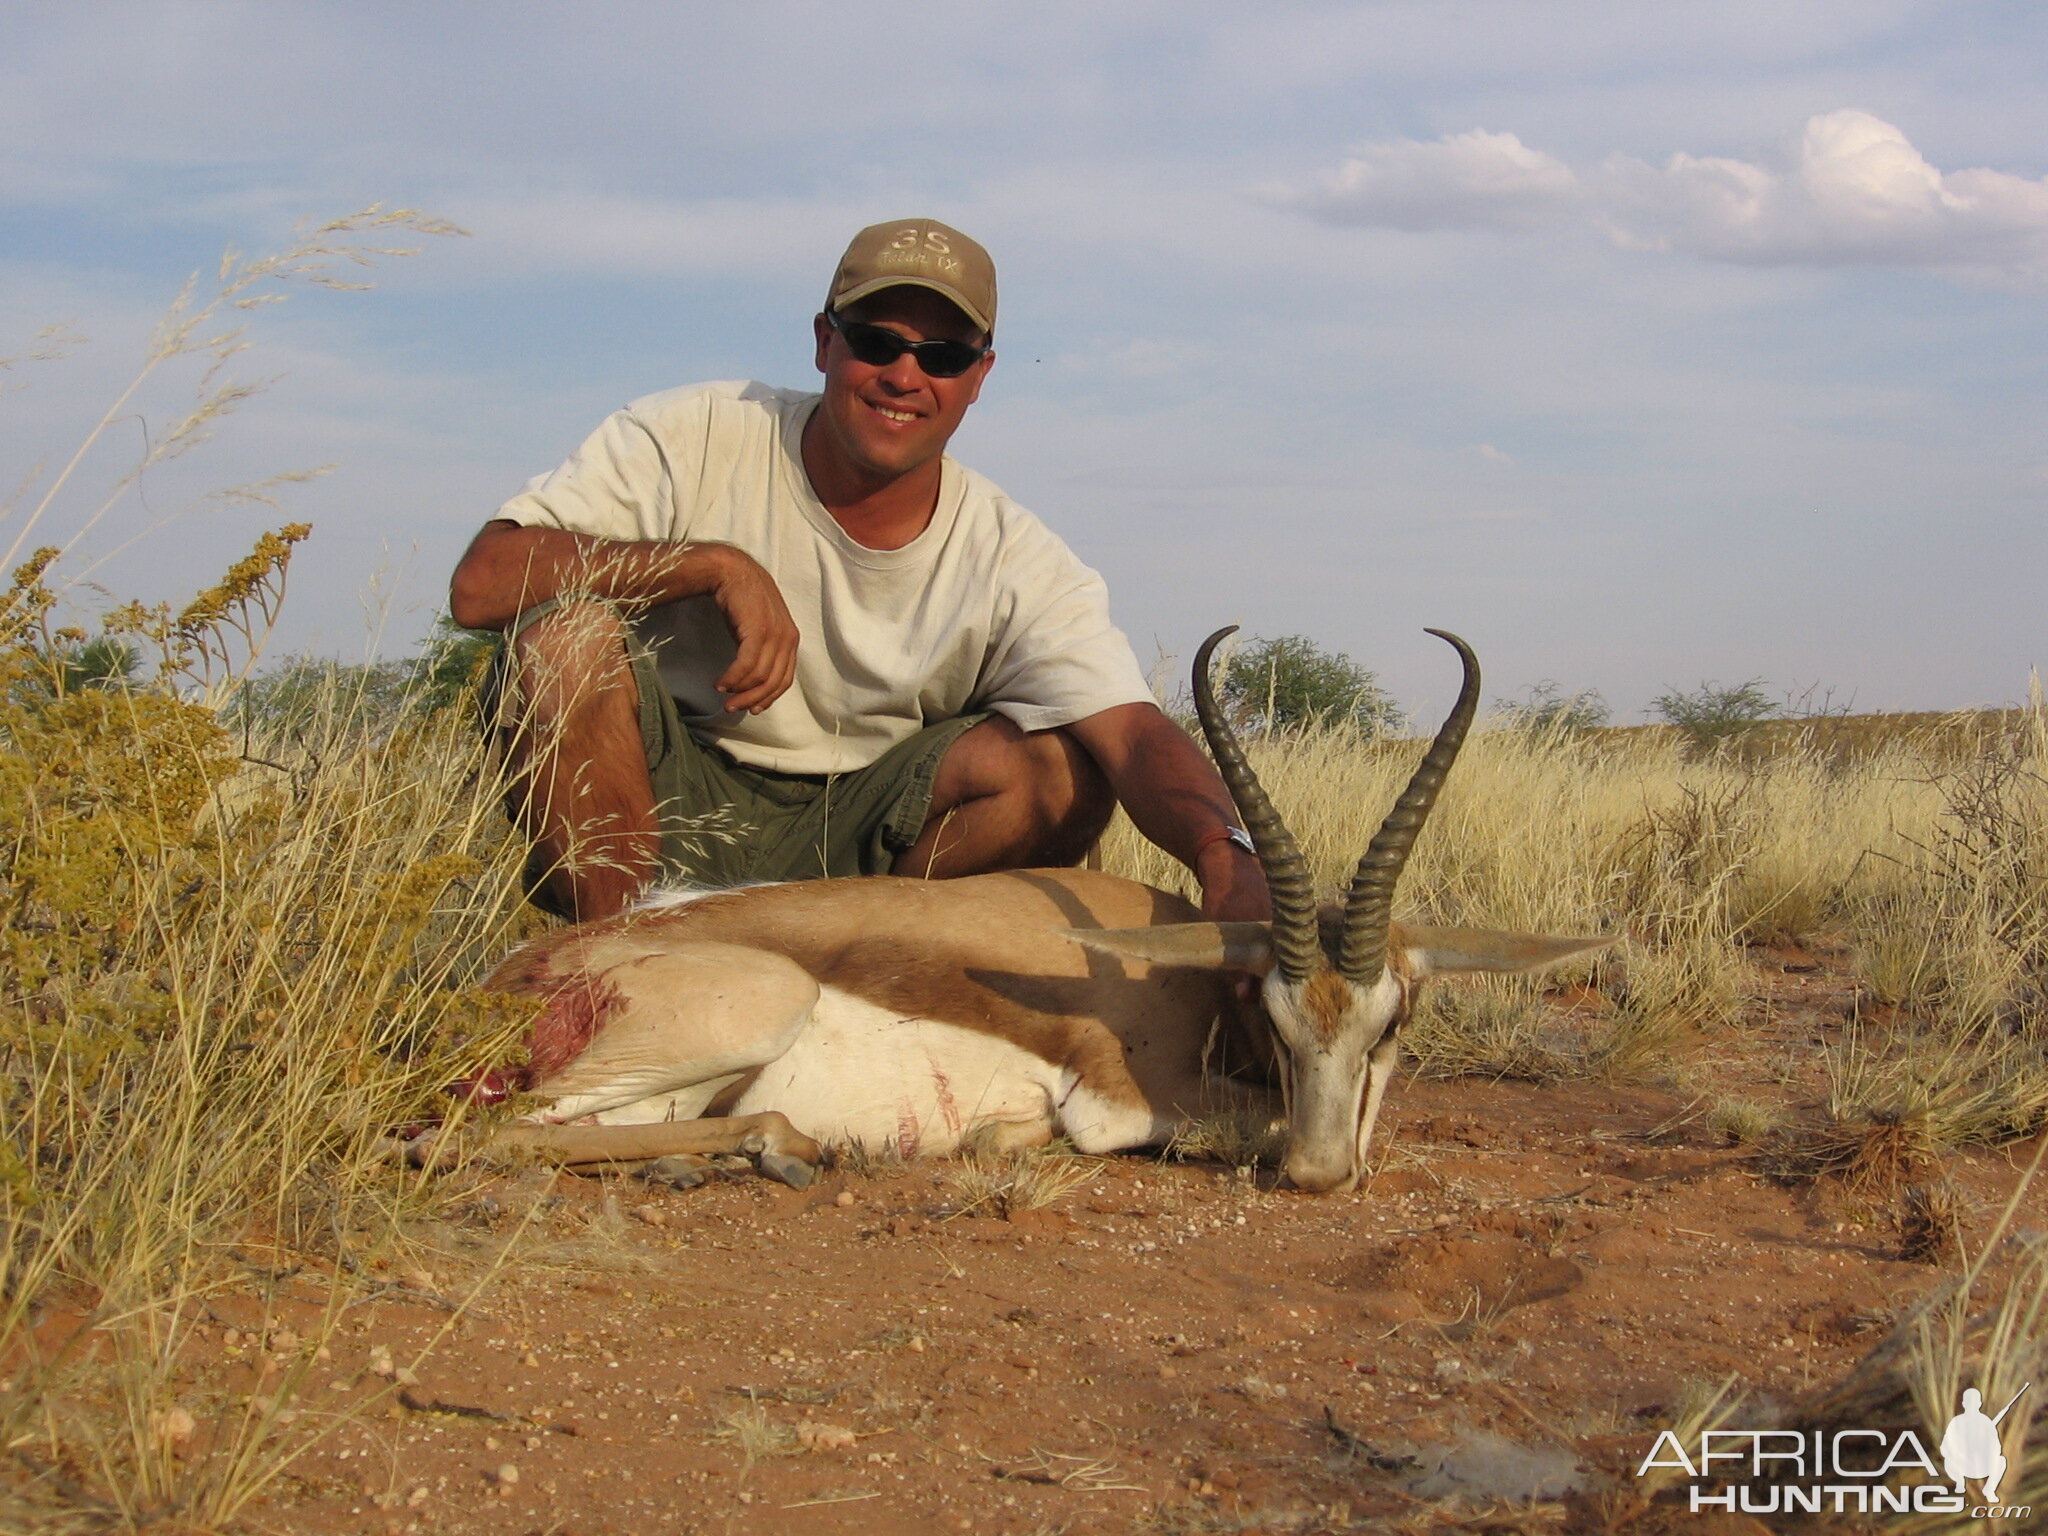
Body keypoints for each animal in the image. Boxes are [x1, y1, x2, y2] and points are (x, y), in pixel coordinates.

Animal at [471, 630, 1605, 1196]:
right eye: (1275, 1019)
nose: (1321, 1177)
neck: (1181, 986)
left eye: (1392, 1024)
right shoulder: (1121, 1102)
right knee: (476, 1137)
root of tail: (506, 980)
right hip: (750, 1009)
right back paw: (788, 1148)